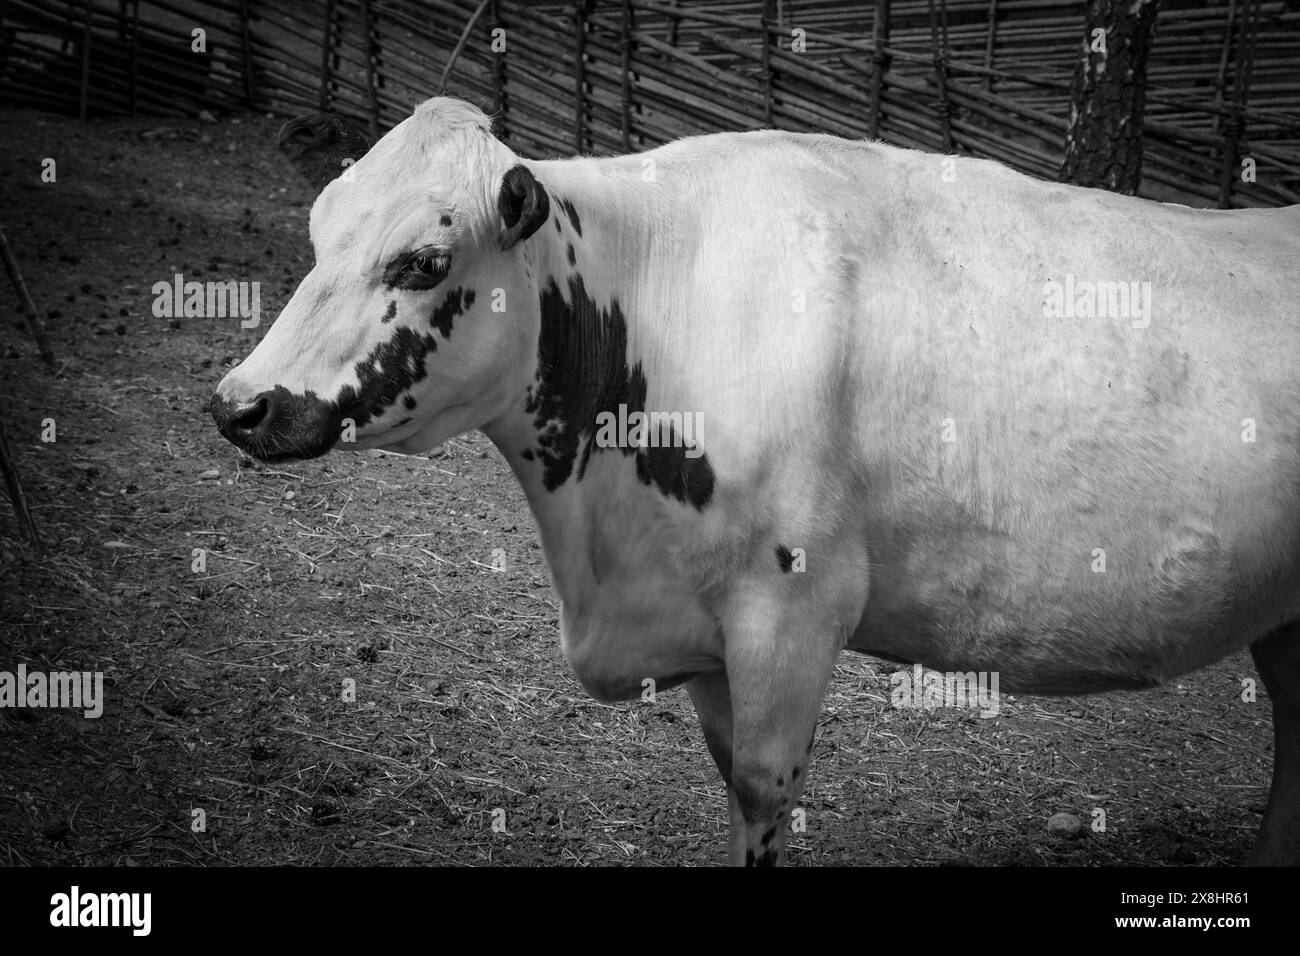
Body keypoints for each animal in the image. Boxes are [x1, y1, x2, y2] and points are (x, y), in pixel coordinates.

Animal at [211, 97, 1300, 866]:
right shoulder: (703, 633)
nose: (241, 404)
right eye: (319, 233)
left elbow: (761, 792)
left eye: (424, 259)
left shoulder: (793, 609)